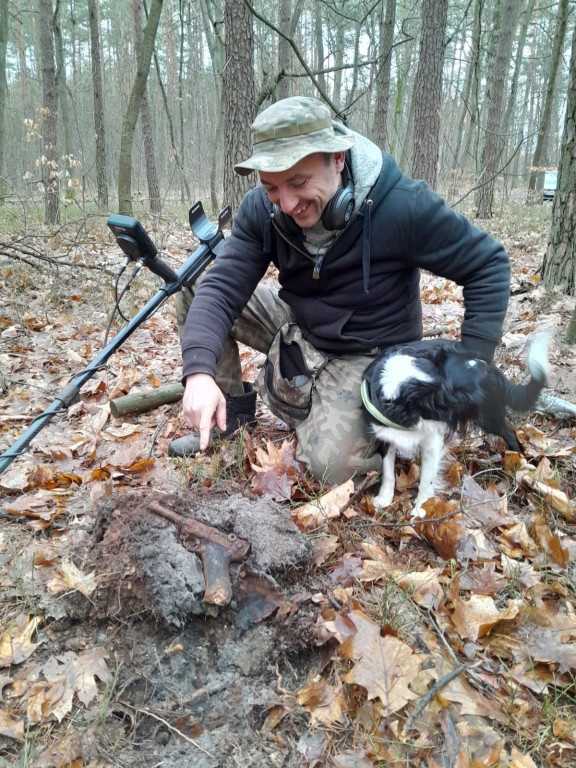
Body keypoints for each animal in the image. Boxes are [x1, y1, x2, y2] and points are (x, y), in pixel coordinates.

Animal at [360, 334, 548, 516]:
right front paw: (384, 499)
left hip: (488, 416)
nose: (482, 365)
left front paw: (422, 508)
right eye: (462, 394)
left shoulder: (432, 440)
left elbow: (427, 478)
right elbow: (387, 470)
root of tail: (493, 368)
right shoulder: (384, 433)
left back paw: (518, 462)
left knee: (510, 434)